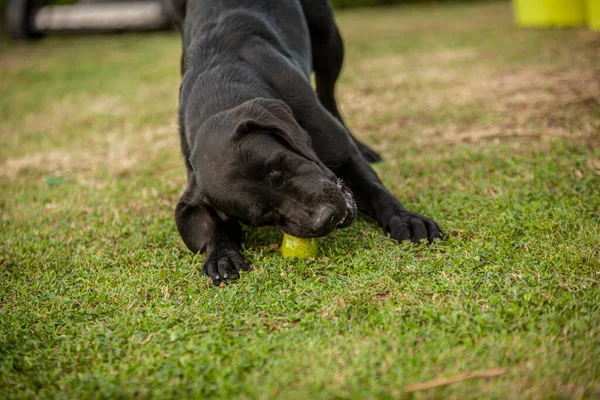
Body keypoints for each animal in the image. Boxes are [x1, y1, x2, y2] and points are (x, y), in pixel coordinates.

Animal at [171, 0, 442, 284]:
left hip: (327, 38)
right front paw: (220, 254)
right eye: (262, 214)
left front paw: (405, 218)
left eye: (282, 164)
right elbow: (214, 226)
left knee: (329, 94)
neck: (219, 88)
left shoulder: (344, 156)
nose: (327, 216)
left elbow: (375, 189)